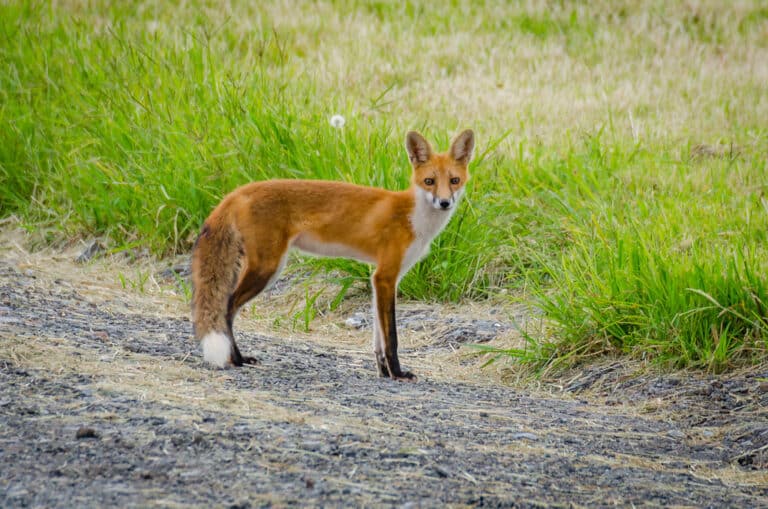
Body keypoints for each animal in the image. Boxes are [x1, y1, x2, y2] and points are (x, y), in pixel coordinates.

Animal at [191, 129, 474, 380]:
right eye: (429, 182)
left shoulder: (379, 279)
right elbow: (391, 337)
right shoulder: (386, 275)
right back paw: (236, 359)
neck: (413, 217)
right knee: (227, 307)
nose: (445, 203)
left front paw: (383, 372)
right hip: (267, 269)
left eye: (454, 181)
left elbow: (378, 339)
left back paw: (238, 358)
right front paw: (398, 373)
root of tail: (239, 191)